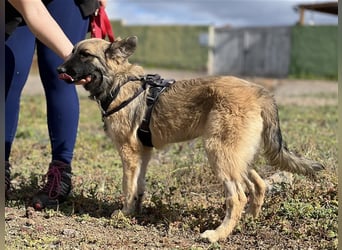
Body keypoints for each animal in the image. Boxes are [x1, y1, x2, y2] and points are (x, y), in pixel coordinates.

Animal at [56, 36, 324, 243]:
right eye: (72, 52)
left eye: (85, 54)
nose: (59, 70)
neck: (119, 82)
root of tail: (260, 92)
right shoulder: (144, 153)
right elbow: (139, 186)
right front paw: (136, 212)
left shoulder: (129, 152)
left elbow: (128, 187)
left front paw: (125, 213)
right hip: (235, 154)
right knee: (258, 184)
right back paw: (248, 219)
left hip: (219, 152)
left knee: (238, 196)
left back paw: (217, 234)